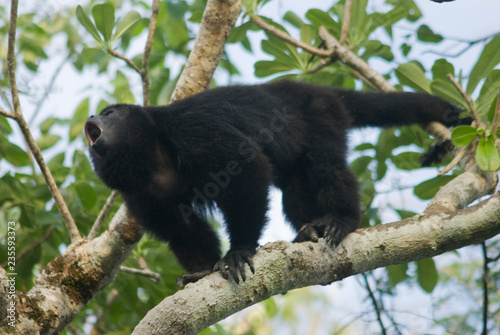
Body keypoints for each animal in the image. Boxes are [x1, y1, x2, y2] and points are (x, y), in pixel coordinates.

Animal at [85, 80, 464, 284]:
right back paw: (311, 229)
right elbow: (182, 229)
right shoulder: (139, 195)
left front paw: (238, 251)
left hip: (321, 113)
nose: (91, 116)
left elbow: (247, 169)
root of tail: (314, 88)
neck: (151, 154)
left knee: (326, 165)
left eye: (110, 113)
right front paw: (202, 272)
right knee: (294, 194)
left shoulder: (192, 130)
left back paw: (342, 219)